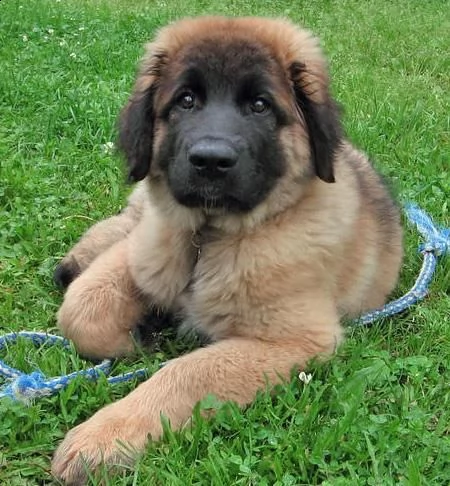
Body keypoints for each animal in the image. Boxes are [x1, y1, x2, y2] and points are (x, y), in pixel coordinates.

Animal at [51, 15, 402, 482]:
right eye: (185, 100)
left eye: (260, 105)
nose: (211, 161)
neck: (208, 239)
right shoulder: (145, 250)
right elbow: (81, 311)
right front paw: (135, 335)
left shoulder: (296, 341)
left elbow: (188, 371)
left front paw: (104, 437)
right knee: (122, 223)